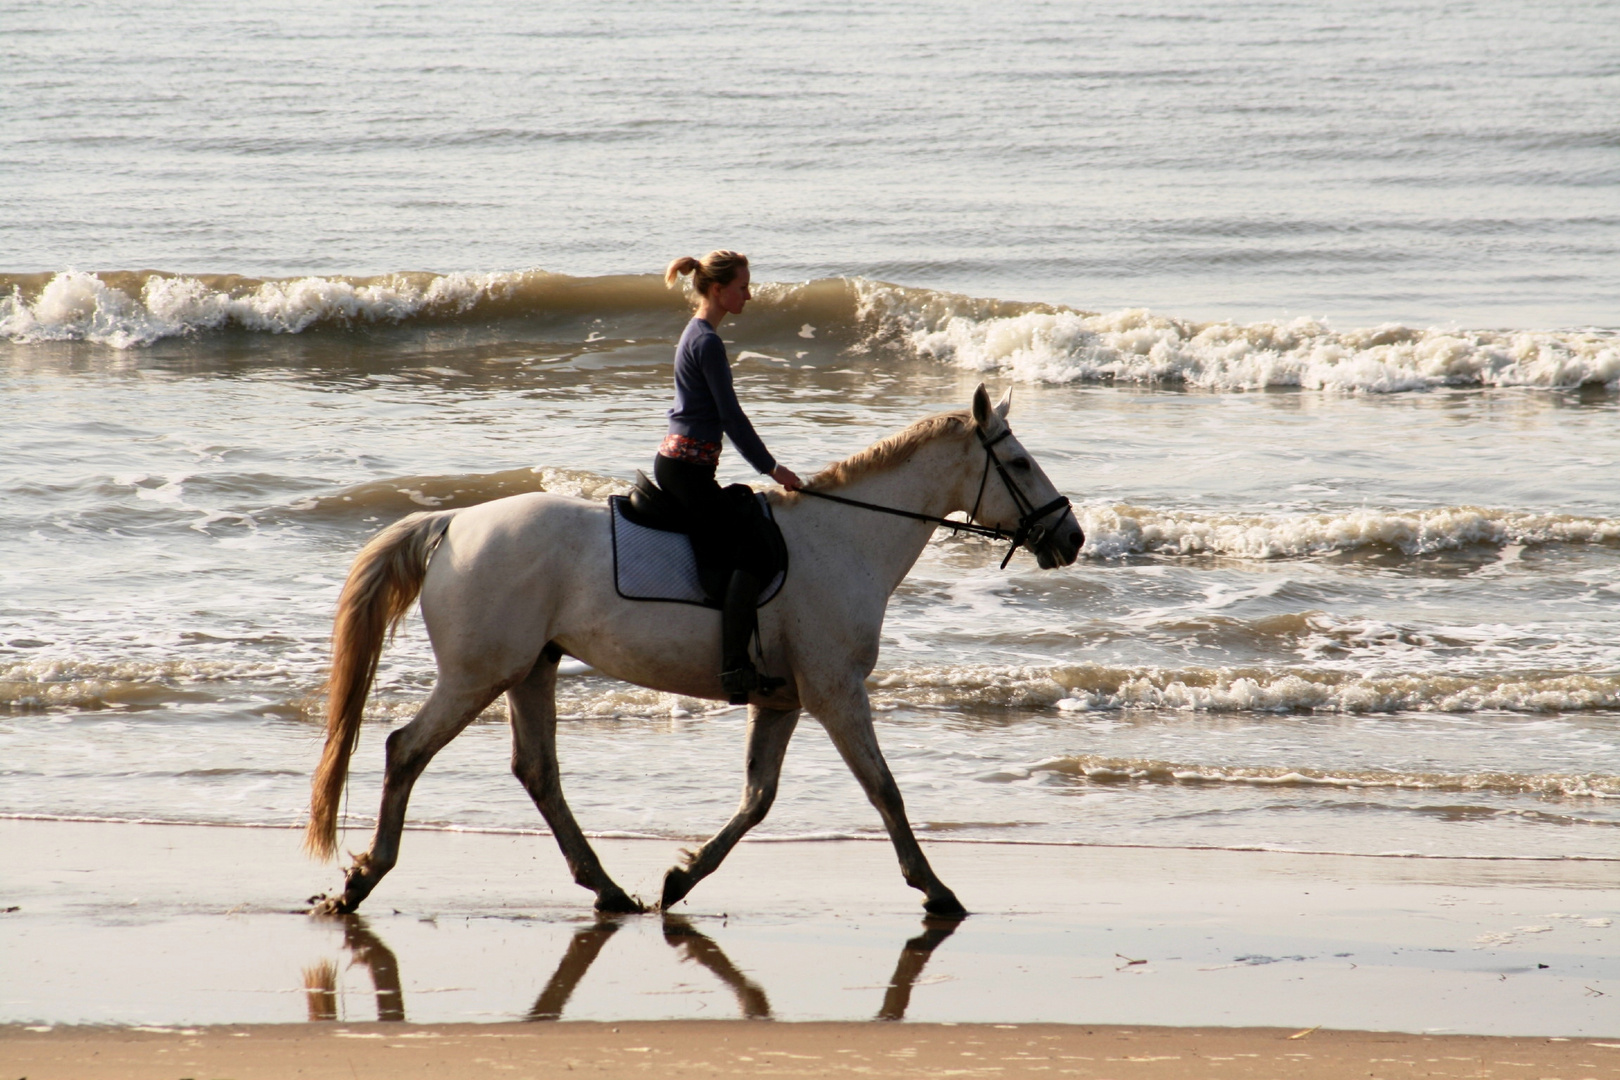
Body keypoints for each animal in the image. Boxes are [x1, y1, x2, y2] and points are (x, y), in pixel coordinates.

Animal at [309, 383, 1082, 919]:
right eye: (1018, 462)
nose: (1071, 538)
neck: (845, 539)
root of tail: (450, 524)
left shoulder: (784, 700)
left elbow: (758, 799)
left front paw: (681, 877)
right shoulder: (836, 692)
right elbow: (883, 789)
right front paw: (936, 889)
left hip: (531, 669)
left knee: (538, 773)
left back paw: (608, 888)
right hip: (480, 674)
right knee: (407, 749)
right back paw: (362, 880)